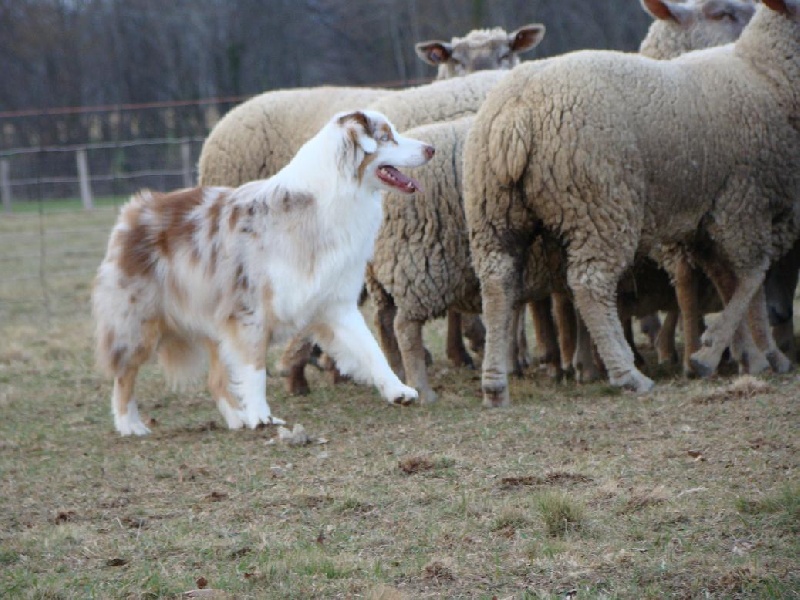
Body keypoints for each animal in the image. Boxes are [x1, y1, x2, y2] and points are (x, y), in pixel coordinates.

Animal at [92, 109, 438, 436]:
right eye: (386, 136)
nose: (431, 148)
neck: (326, 201)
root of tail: (134, 210)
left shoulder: (334, 303)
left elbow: (370, 350)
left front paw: (398, 390)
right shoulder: (249, 309)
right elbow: (255, 367)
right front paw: (261, 415)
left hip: (211, 320)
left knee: (216, 381)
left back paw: (238, 418)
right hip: (139, 322)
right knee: (123, 374)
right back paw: (130, 424)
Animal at [362, 1, 756, 404]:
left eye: (508, 52)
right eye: (723, 14)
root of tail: (516, 115)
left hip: (491, 220)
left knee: (481, 289)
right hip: (579, 213)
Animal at [460, 0, 796, 406]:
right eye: (722, 13)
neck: (765, 73)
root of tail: (517, 111)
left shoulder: (704, 219)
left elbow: (728, 281)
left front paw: (741, 353)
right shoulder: (744, 200)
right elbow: (752, 276)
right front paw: (726, 352)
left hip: (494, 210)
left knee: (498, 283)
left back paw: (495, 385)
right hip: (598, 204)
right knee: (590, 285)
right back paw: (627, 373)